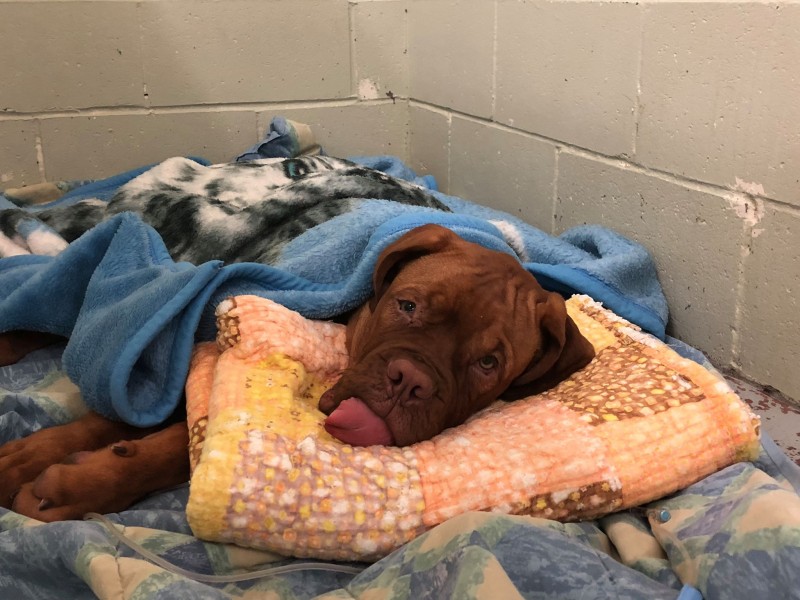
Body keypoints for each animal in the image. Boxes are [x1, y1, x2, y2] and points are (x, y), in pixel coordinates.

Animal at [0, 223, 594, 521]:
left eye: (487, 364)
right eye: (406, 305)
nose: (408, 380)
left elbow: (171, 441)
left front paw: (80, 482)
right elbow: (118, 417)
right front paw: (34, 458)